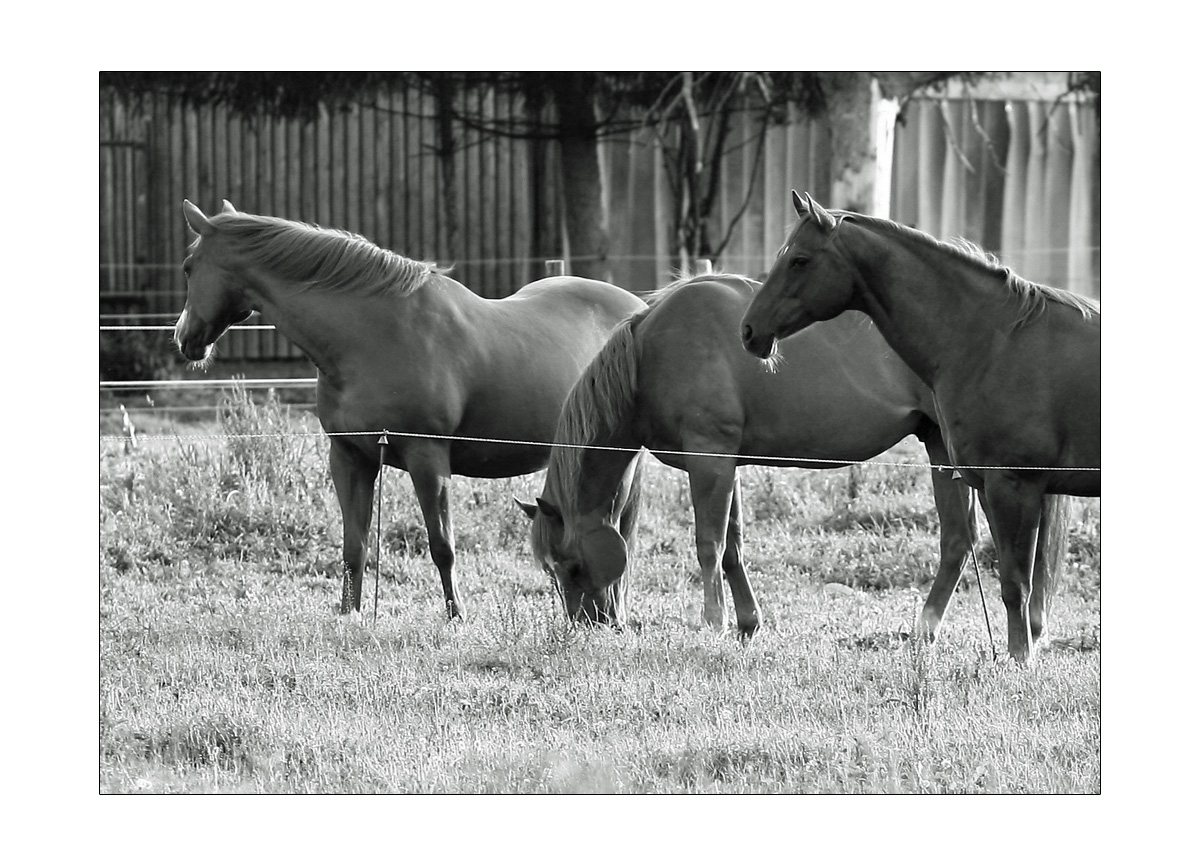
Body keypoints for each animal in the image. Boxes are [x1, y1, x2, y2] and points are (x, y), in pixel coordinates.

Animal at [175, 199, 648, 618]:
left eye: (188, 267)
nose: (184, 339)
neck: (373, 337)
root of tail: (638, 308)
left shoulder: (428, 458)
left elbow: (442, 546)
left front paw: (456, 616)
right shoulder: (349, 456)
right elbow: (354, 544)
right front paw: (349, 613)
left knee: (619, 531)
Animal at [739, 190, 1099, 662]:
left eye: (799, 260)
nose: (749, 331)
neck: (994, 343)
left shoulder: (1014, 486)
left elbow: (1015, 585)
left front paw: (1020, 663)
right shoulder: (1005, 487)